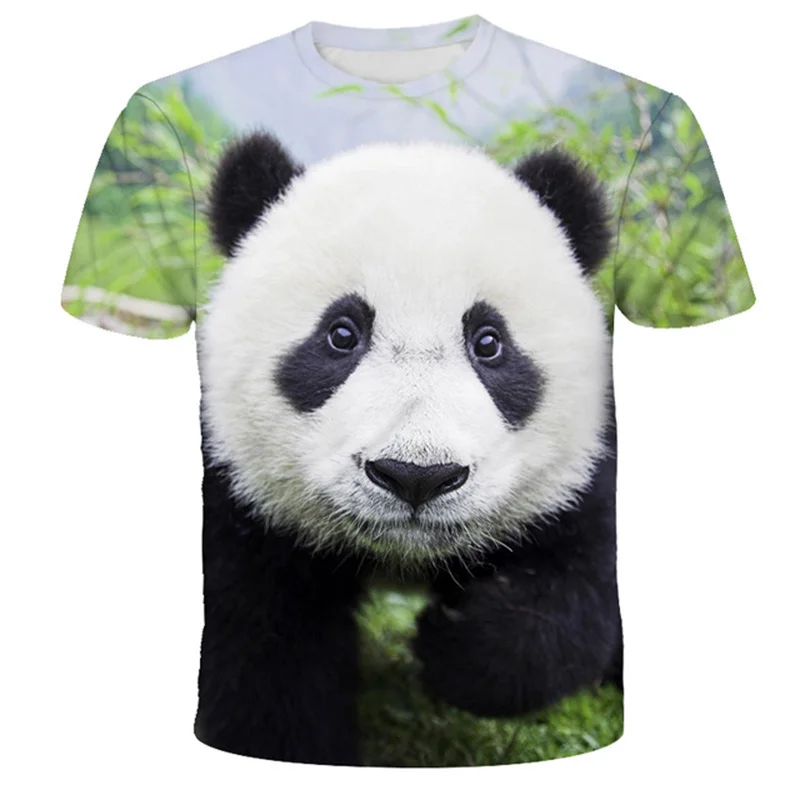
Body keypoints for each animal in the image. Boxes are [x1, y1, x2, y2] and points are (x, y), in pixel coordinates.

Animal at [194, 132, 621, 765]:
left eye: (488, 342)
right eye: (341, 334)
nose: (417, 476)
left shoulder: (582, 469)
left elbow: (577, 592)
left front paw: (456, 642)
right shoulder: (242, 500)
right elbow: (262, 654)